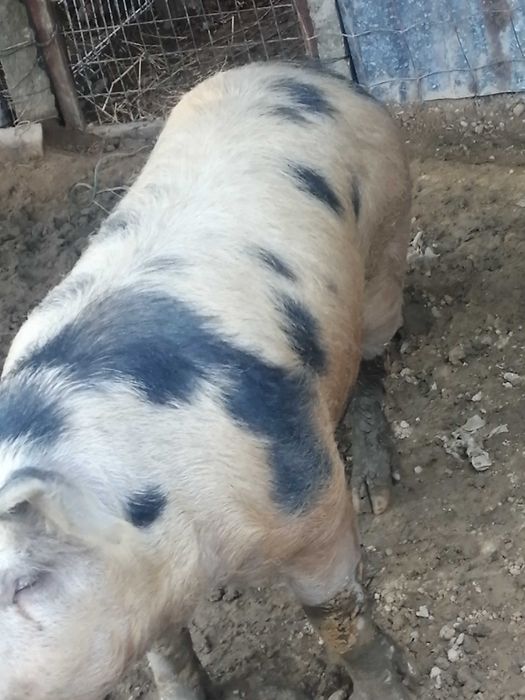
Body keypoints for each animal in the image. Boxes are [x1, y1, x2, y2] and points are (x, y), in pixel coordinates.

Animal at [0, 60, 412, 699]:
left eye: (24, 585)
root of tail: (301, 69)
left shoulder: (307, 498)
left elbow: (335, 613)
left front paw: (386, 687)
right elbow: (168, 651)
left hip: (385, 240)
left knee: (372, 355)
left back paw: (378, 494)